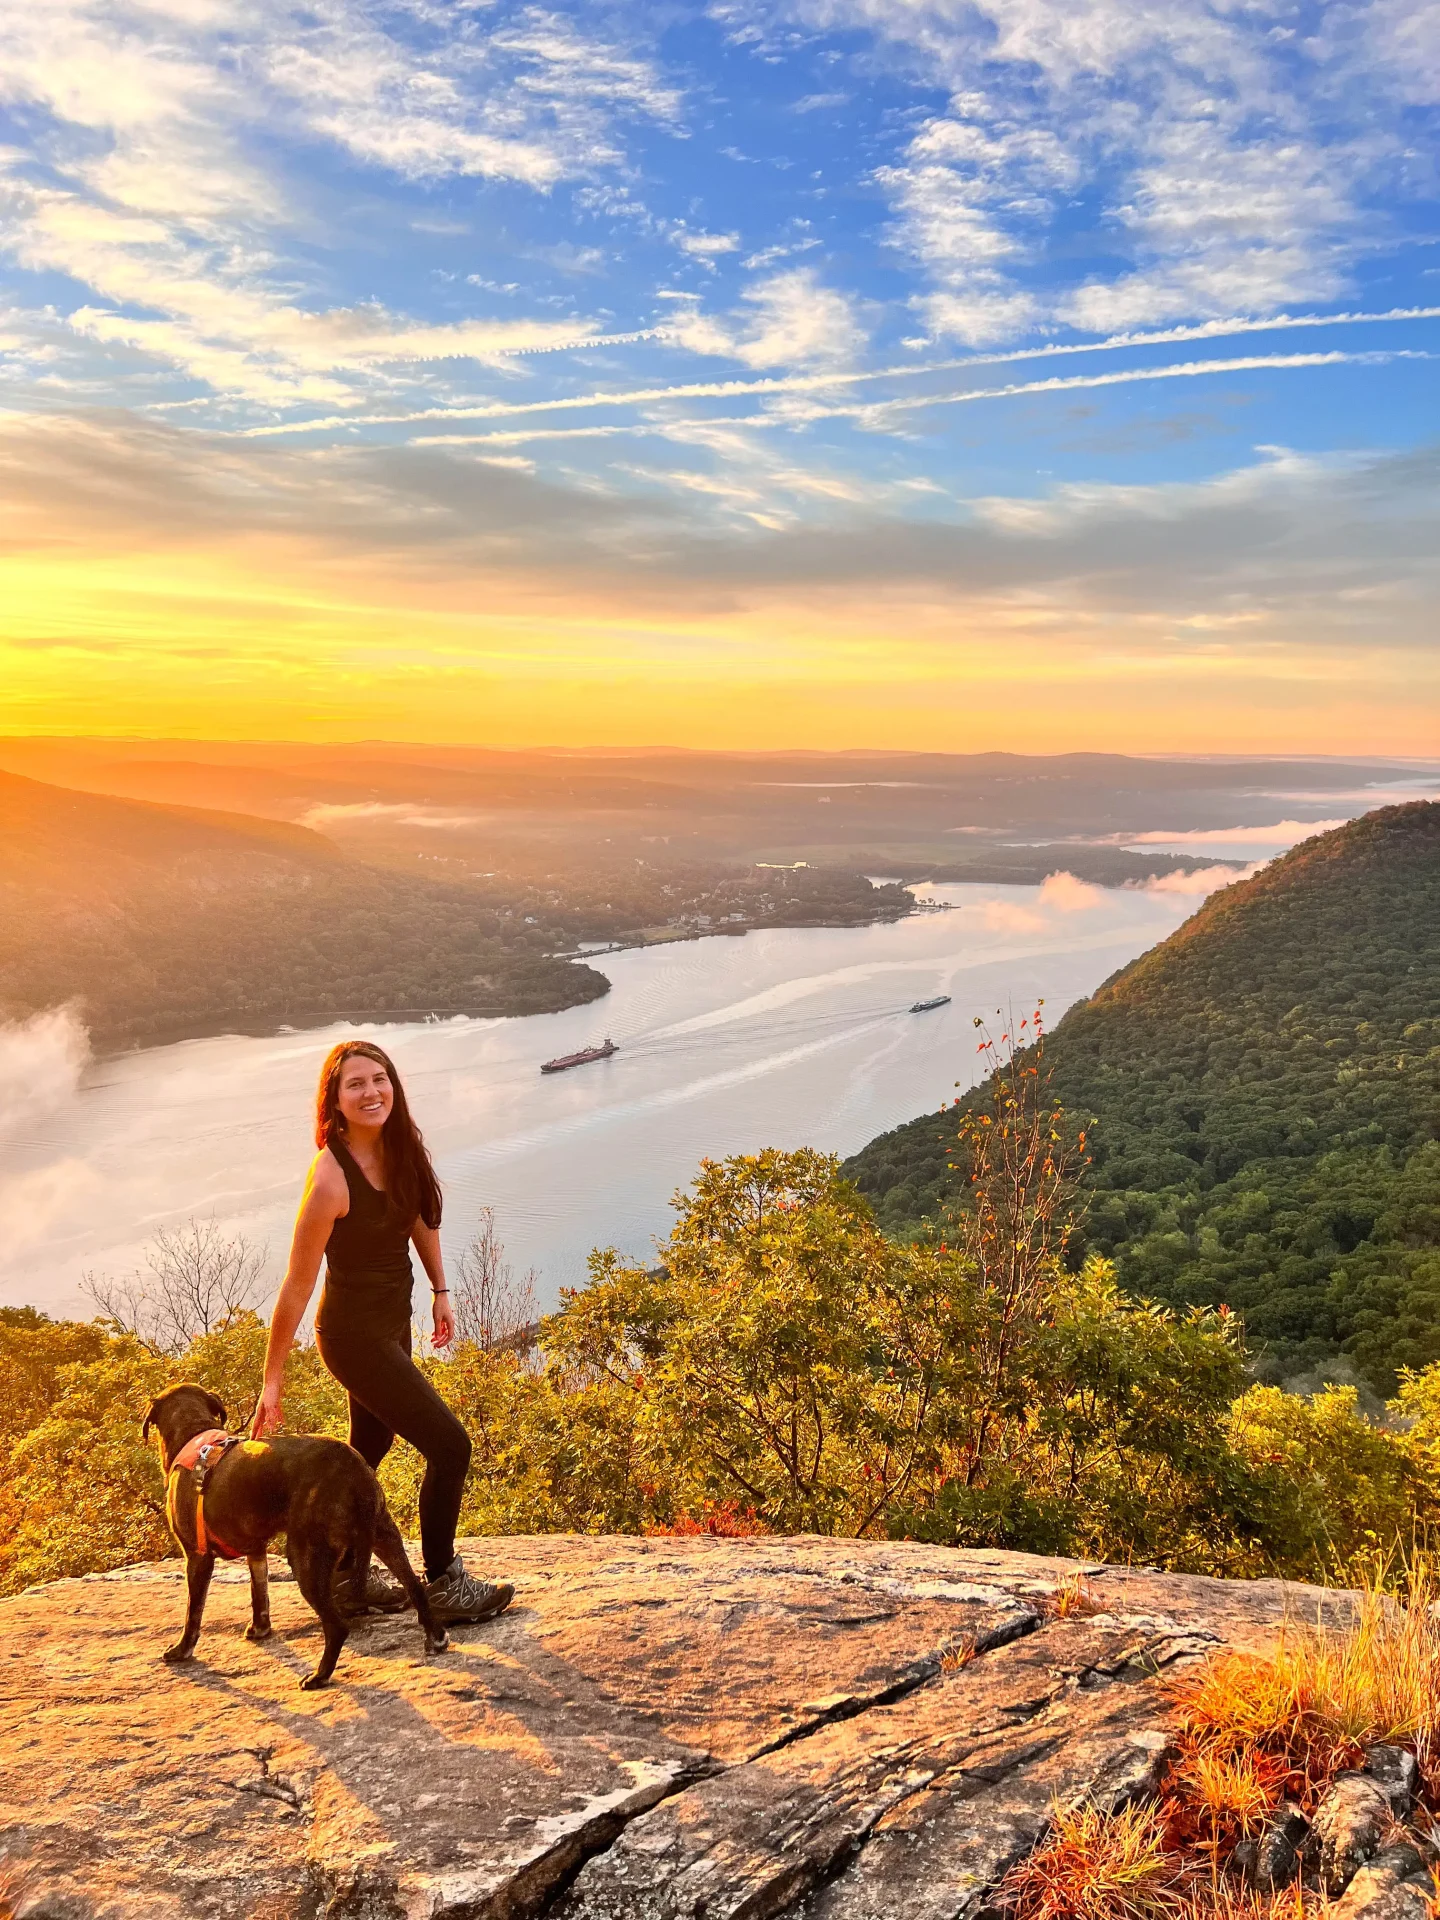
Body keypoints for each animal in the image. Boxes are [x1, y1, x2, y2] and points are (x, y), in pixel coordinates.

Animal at [142, 1390, 449, 1689]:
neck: (193, 1432)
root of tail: (352, 1466)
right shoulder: (257, 1552)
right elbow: (259, 1594)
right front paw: (260, 1629)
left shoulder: (197, 1556)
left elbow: (192, 1612)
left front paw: (181, 1650)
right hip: (384, 1535)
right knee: (415, 1585)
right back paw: (435, 1638)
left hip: (306, 1557)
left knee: (337, 1626)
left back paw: (320, 1676)